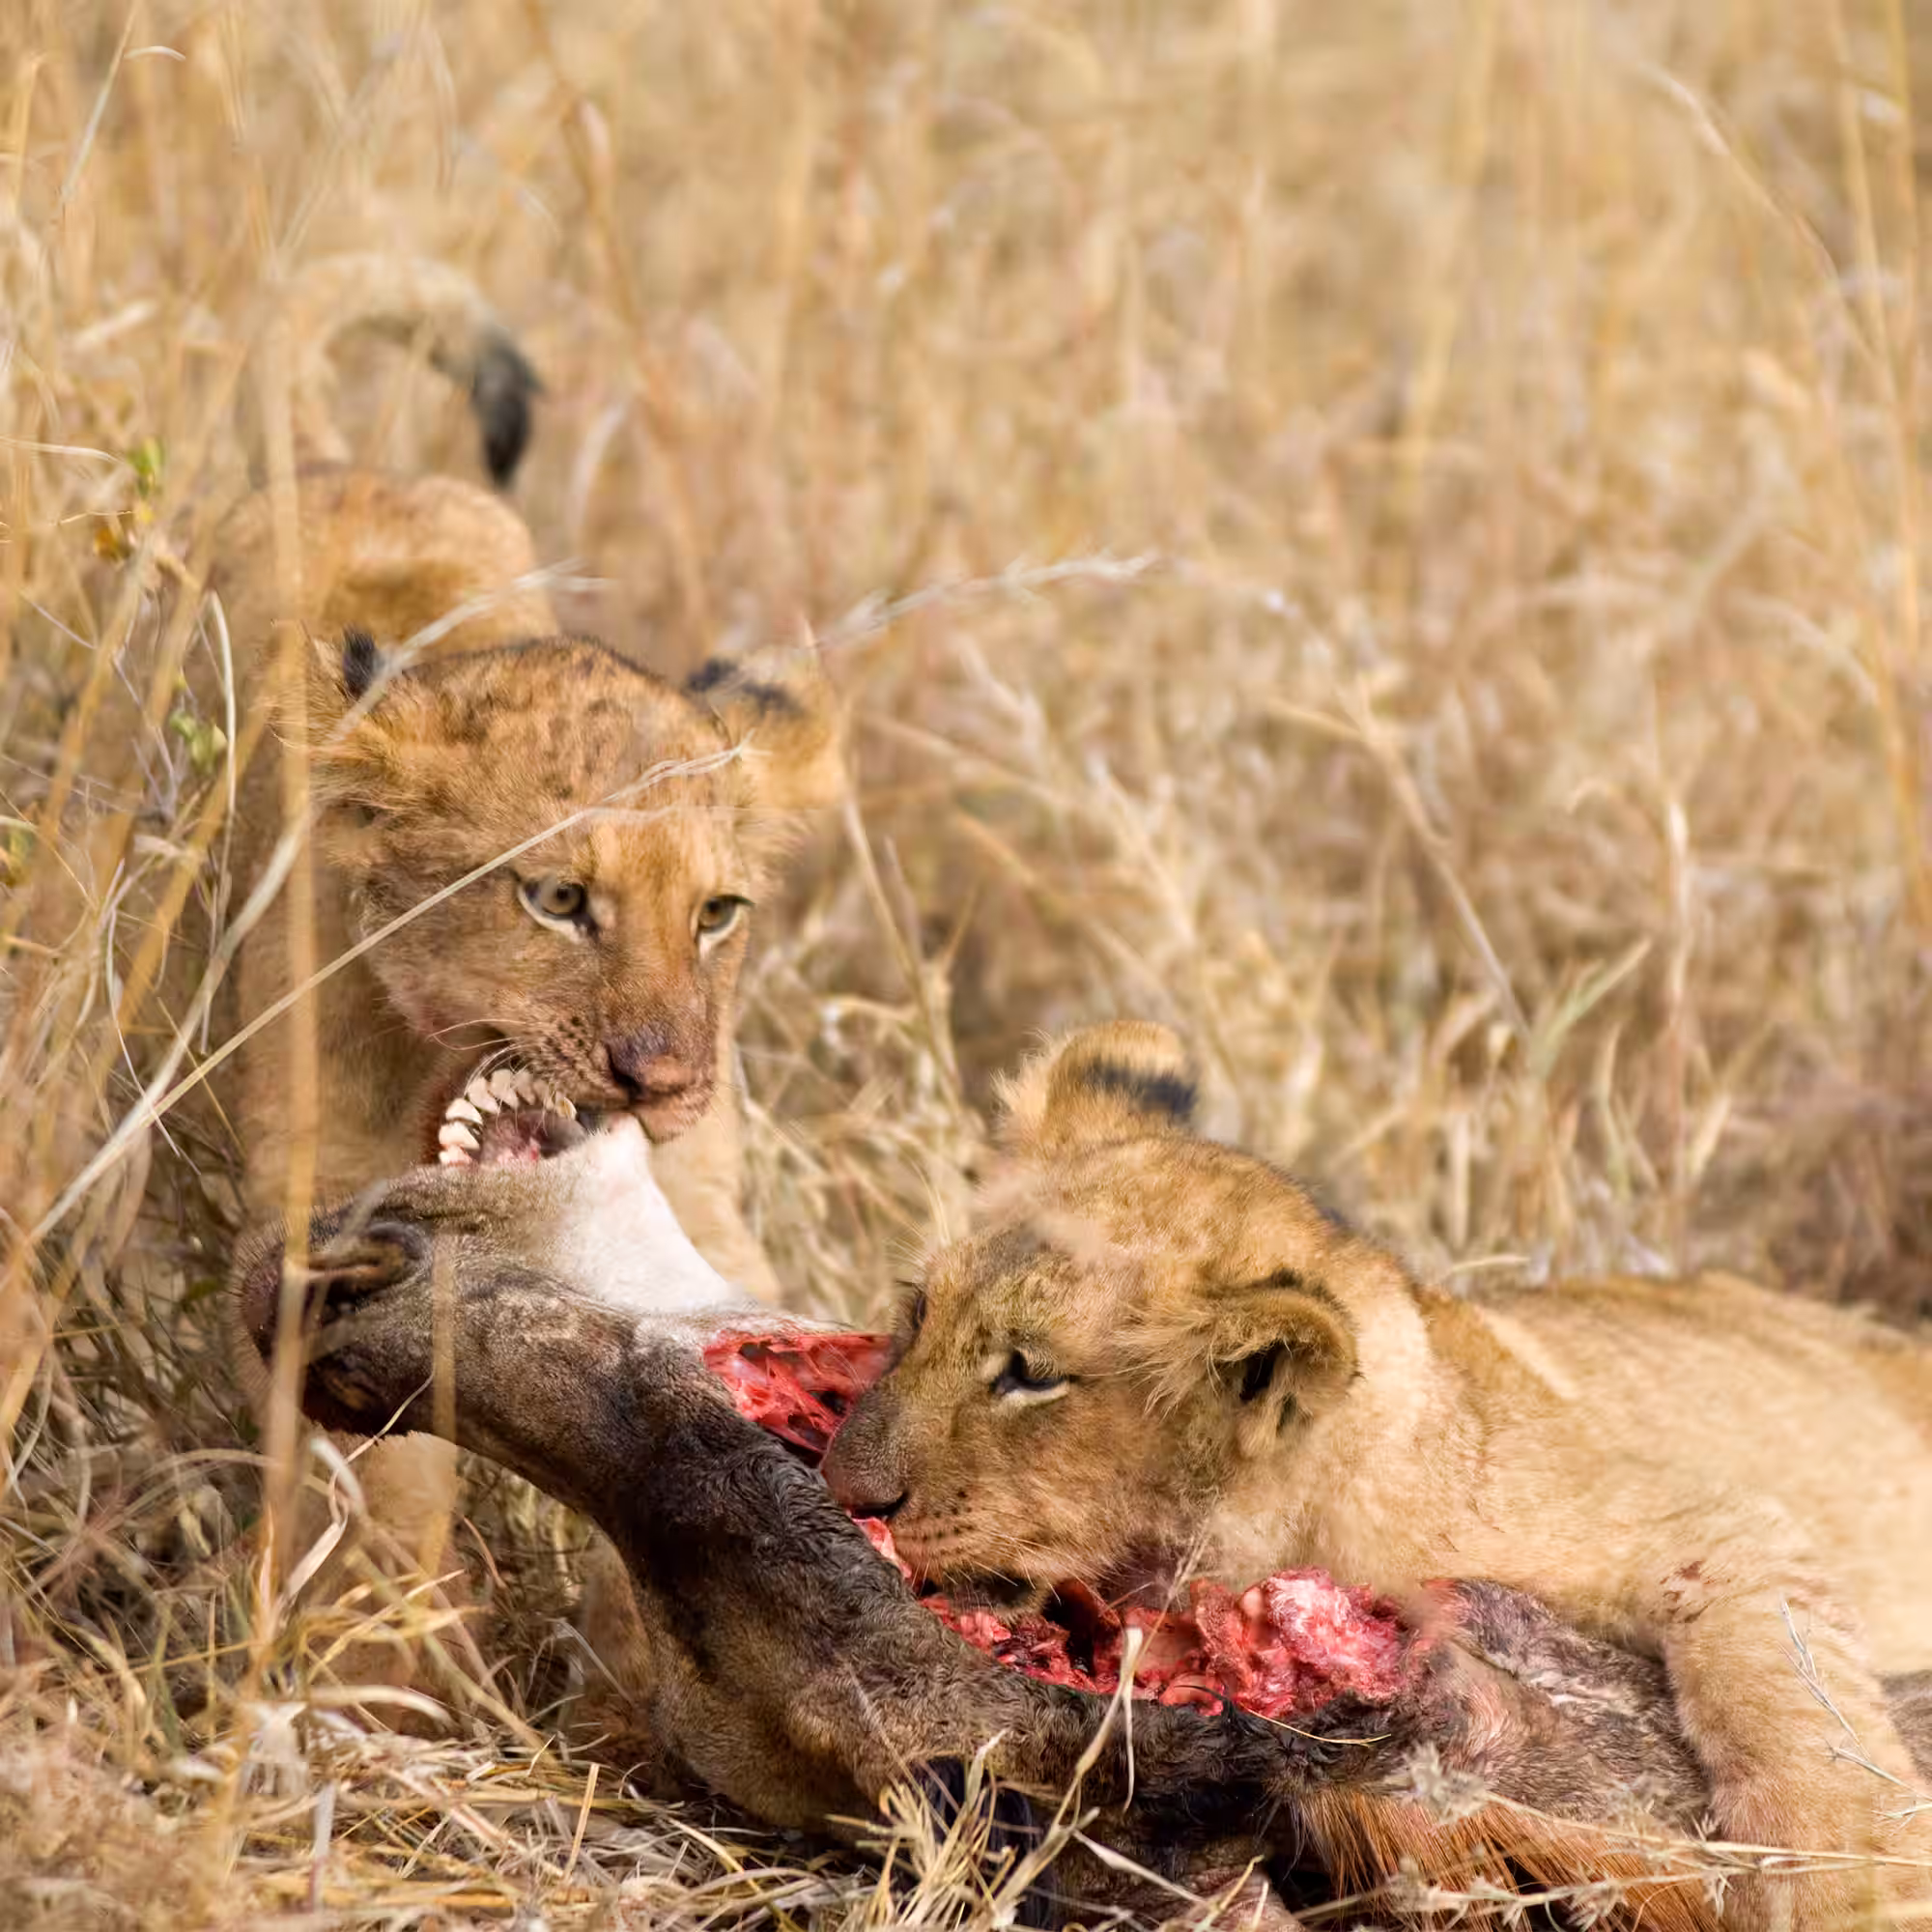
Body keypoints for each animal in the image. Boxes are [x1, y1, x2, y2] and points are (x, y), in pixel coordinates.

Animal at [821, 1021, 1932, 1930]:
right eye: (919, 1311)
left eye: (1030, 1373)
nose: (841, 1485)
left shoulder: (1713, 1520)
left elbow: (1795, 1701)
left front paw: (1855, 1890)